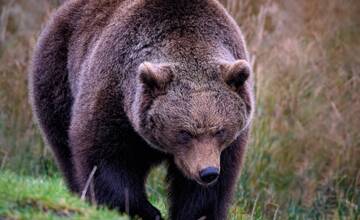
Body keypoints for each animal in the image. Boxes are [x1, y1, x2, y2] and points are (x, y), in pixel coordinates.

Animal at [29, 0, 255, 220]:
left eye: (220, 130)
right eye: (184, 133)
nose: (207, 172)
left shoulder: (227, 144)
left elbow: (210, 188)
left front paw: (198, 213)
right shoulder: (113, 98)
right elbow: (105, 158)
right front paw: (144, 210)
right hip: (57, 76)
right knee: (64, 146)